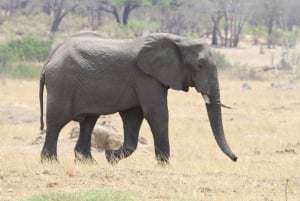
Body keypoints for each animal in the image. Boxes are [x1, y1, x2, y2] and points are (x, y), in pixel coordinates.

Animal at [38, 32, 238, 164]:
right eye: (200, 65)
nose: (236, 158)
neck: (179, 40)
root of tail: (49, 58)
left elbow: (133, 117)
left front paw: (110, 157)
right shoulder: (145, 77)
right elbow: (157, 114)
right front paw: (165, 165)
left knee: (88, 121)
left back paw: (89, 163)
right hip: (62, 83)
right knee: (56, 121)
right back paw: (51, 163)